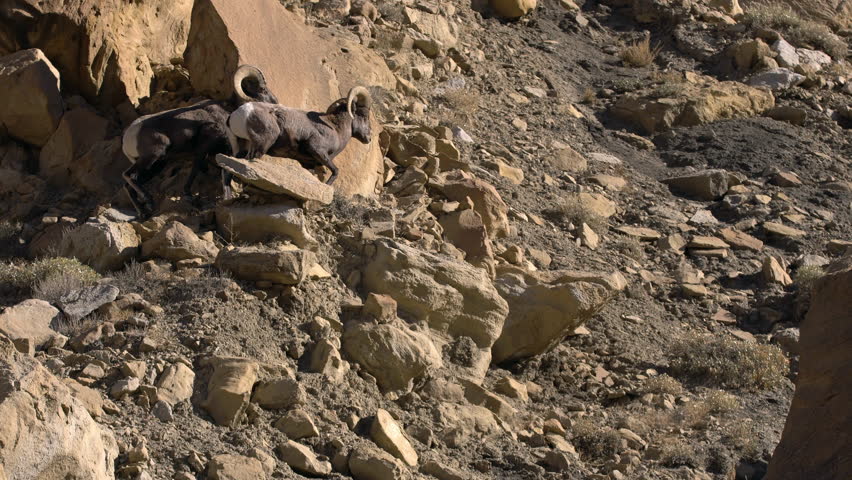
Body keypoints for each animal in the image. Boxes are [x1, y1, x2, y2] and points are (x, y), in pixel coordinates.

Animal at [121, 65, 278, 218]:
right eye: (262, 89)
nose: (275, 102)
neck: (228, 113)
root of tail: (129, 136)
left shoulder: (226, 153)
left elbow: (226, 177)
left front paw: (226, 199)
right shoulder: (203, 149)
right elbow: (196, 169)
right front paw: (188, 195)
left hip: (157, 165)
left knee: (130, 183)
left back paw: (144, 211)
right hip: (152, 156)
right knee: (128, 175)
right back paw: (147, 200)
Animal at [225, 86, 372, 184]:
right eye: (364, 115)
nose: (369, 138)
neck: (335, 129)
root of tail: (238, 114)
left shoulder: (309, 164)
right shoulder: (317, 150)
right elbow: (336, 171)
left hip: (244, 146)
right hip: (263, 145)